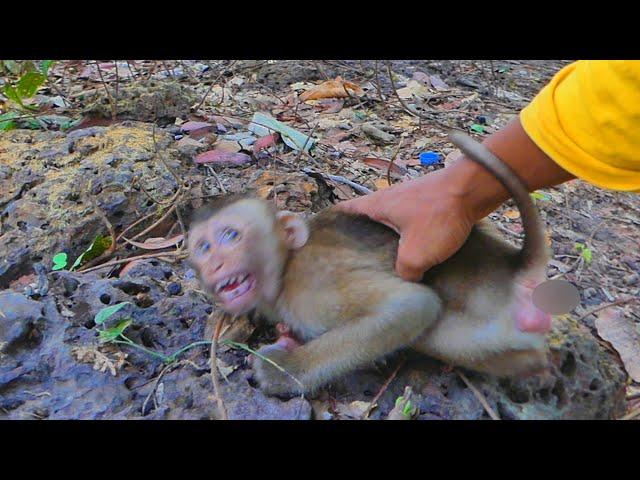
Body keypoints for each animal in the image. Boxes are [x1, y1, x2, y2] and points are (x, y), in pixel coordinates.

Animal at [188, 132, 552, 398]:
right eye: (203, 248)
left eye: (230, 235)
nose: (214, 264)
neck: (285, 268)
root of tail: (513, 265)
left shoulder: (311, 284)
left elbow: (411, 305)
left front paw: (286, 369)